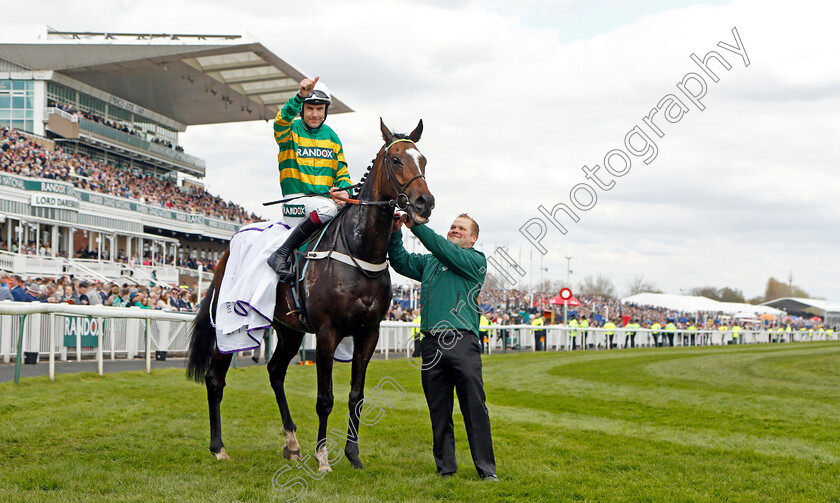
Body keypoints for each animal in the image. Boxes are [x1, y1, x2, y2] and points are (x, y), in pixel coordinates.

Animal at [188, 120, 436, 474]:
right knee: (214, 379)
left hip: (289, 330)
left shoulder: (369, 333)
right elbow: (325, 398)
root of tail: (227, 250)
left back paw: (292, 443)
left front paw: (353, 455)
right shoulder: (327, 332)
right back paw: (218, 447)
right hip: (230, 324)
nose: (424, 202)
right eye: (396, 159)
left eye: (423, 160)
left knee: (276, 372)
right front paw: (323, 458)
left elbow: (356, 396)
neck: (358, 251)